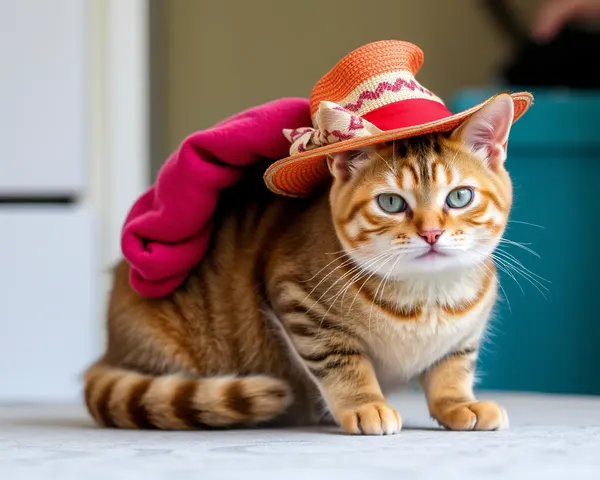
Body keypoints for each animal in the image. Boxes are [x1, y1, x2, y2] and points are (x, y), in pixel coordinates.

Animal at [83, 93, 516, 436]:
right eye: (391, 202)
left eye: (459, 197)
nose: (431, 233)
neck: (428, 297)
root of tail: (110, 348)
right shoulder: (299, 303)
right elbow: (343, 362)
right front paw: (364, 403)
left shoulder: (463, 336)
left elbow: (452, 369)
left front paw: (457, 404)